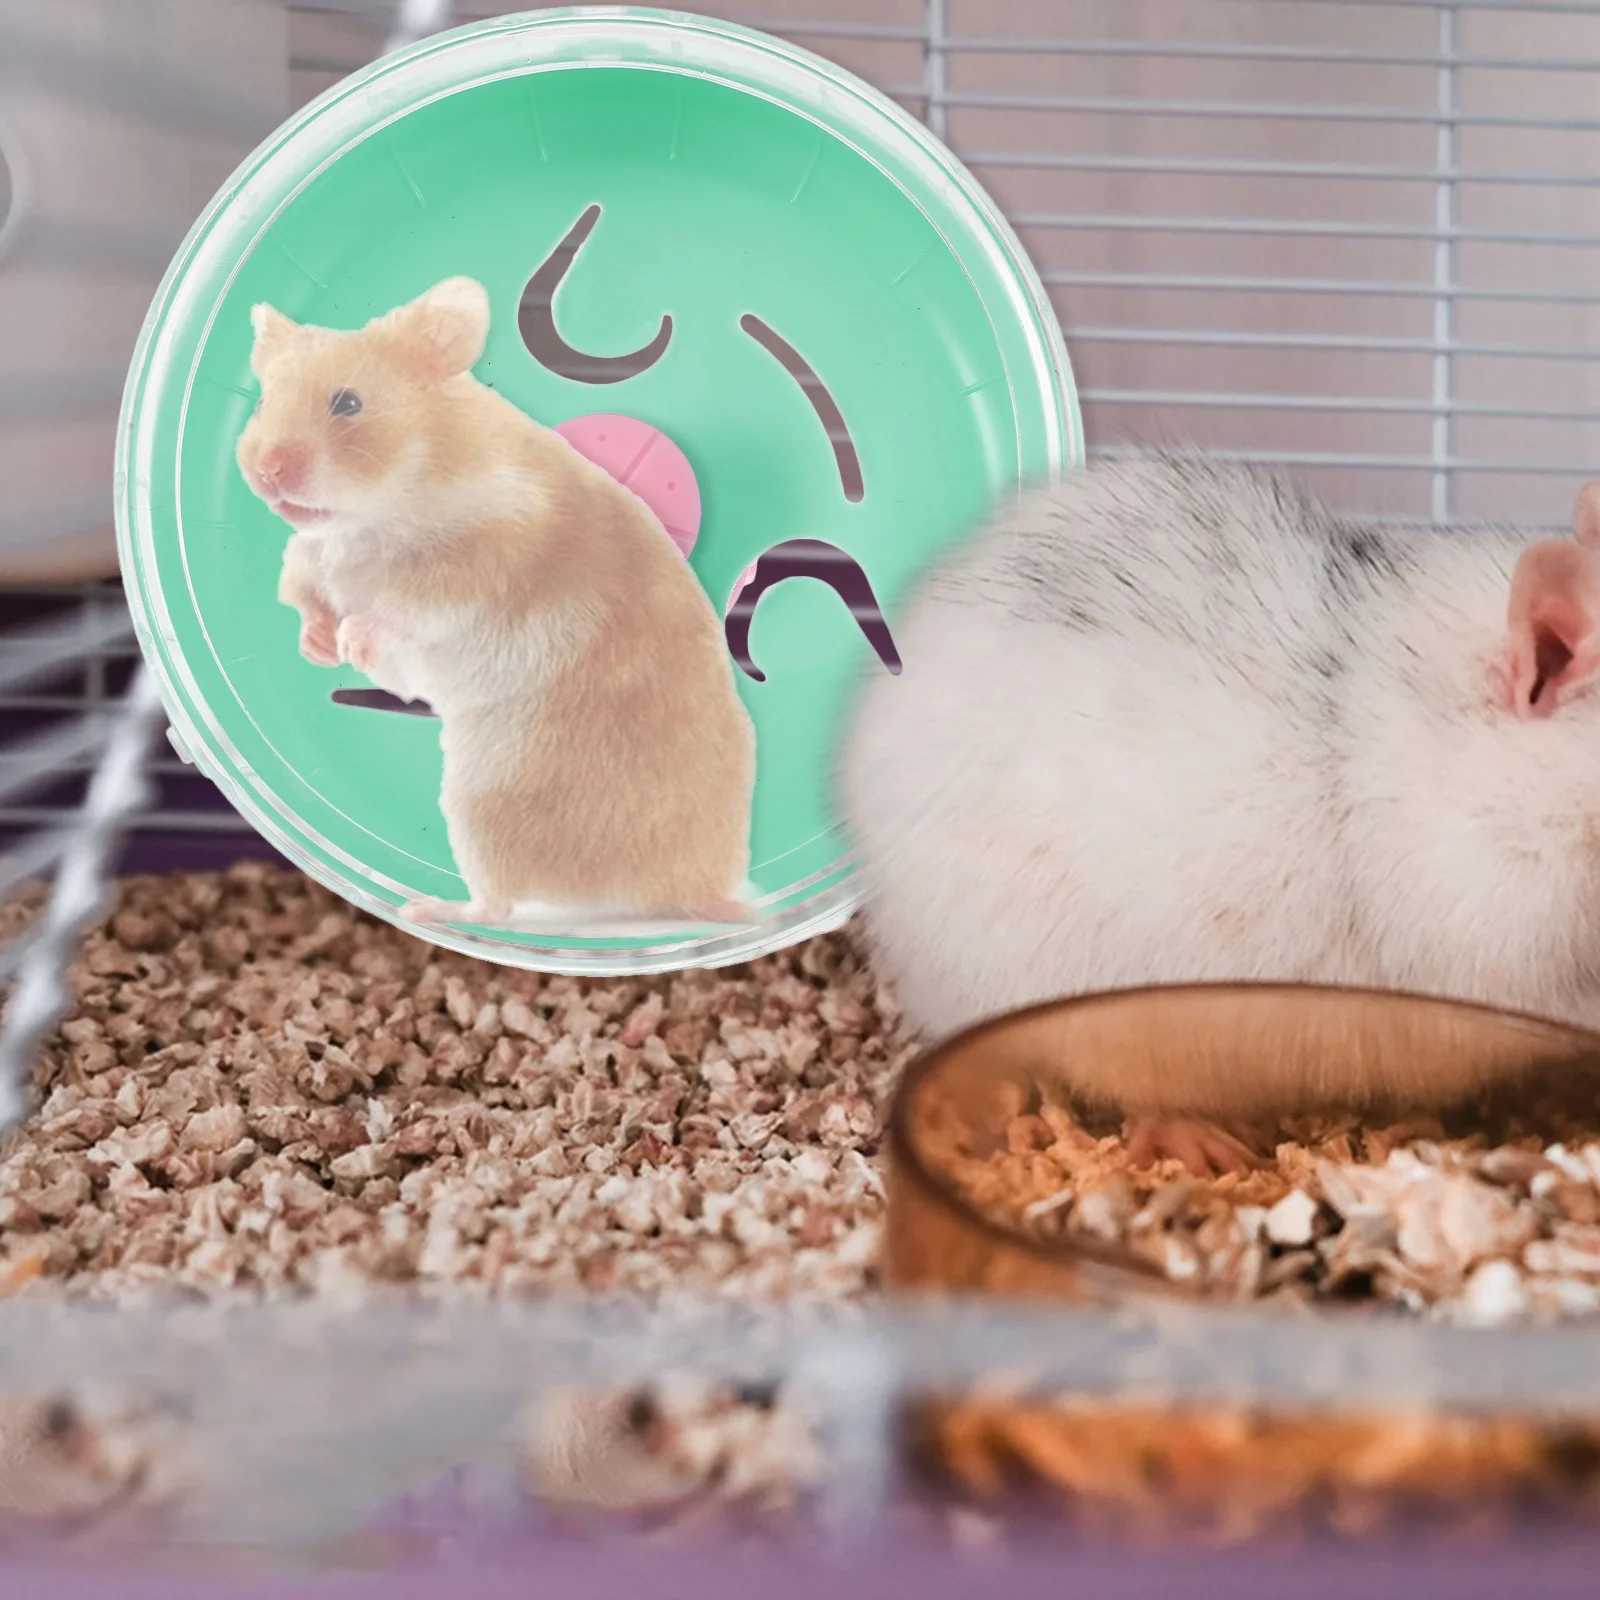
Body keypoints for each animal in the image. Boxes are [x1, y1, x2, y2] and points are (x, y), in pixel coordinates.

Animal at [237, 277, 755, 933]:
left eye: (347, 403)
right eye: (260, 403)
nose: (266, 471)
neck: (373, 512)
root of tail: (690, 893)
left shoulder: (477, 560)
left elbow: (406, 609)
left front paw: (353, 635)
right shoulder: (309, 556)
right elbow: (307, 594)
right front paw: (320, 646)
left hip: (482, 807)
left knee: (499, 907)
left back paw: (427, 907)